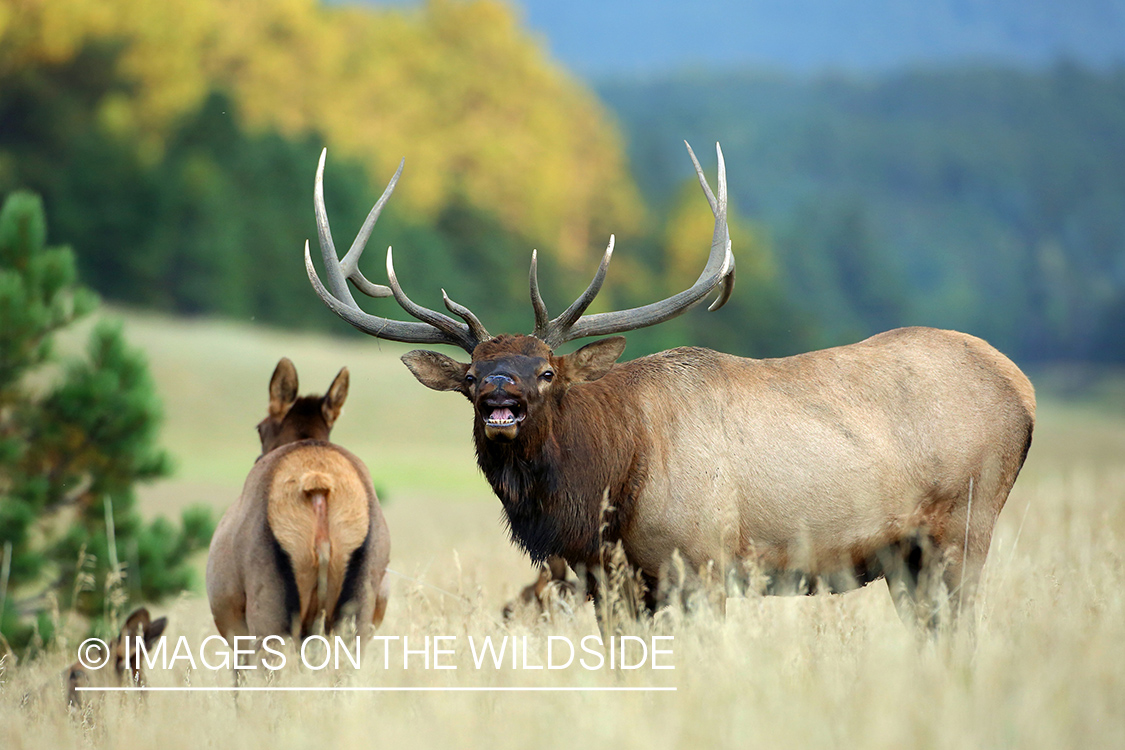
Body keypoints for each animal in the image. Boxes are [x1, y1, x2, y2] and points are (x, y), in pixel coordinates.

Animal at [301, 143, 1035, 625]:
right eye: (472, 375)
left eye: (547, 372)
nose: (500, 397)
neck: (603, 492)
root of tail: (1022, 389)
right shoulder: (611, 588)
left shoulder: (704, 566)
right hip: (905, 559)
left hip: (964, 526)